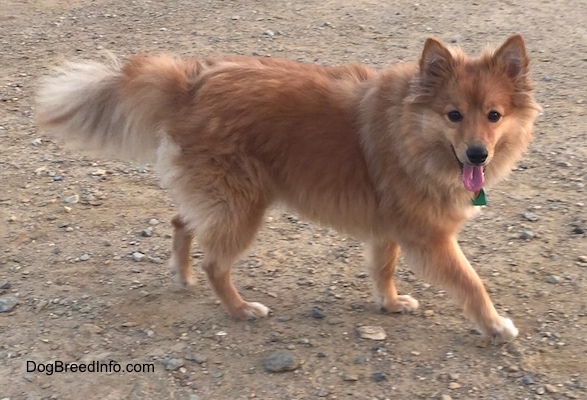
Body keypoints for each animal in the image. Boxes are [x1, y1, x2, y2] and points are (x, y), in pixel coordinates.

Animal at [35, 34, 544, 342]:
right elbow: (471, 282)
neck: (411, 129)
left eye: (494, 115)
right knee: (216, 261)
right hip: (243, 206)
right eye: (453, 115)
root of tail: (191, 81)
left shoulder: (390, 227)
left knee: (182, 220)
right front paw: (495, 325)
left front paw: (390, 303)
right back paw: (240, 309)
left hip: (219, 198)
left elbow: (384, 268)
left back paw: (182, 275)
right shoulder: (431, 237)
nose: (477, 155)